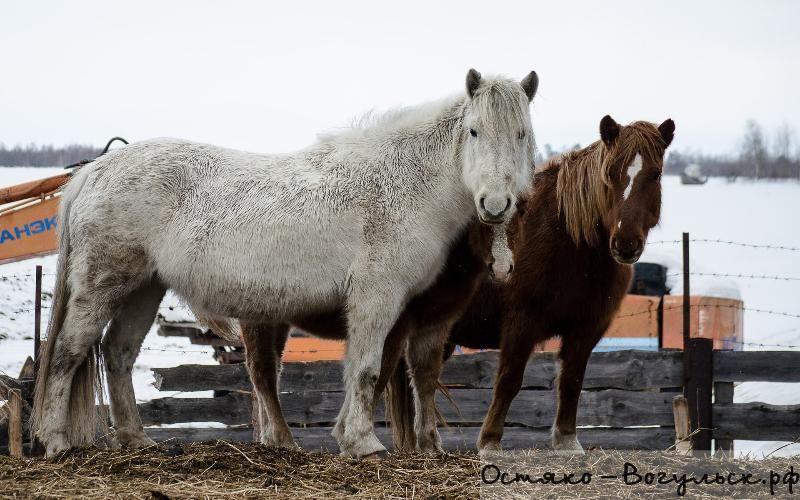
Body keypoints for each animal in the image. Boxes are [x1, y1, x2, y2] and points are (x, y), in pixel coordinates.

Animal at [32, 68, 539, 458]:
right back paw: (57, 442)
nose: (495, 205)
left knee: (117, 354)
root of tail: (95, 170)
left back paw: (136, 440)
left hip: (144, 288)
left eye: (521, 135)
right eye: (474, 131)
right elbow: (368, 370)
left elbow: (368, 372)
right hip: (103, 285)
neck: (401, 182)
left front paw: (351, 439)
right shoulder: (377, 299)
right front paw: (363, 443)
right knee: (68, 353)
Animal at [385, 115, 675, 453]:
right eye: (610, 173)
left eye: (655, 174)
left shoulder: (586, 330)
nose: (626, 243)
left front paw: (567, 440)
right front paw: (490, 441)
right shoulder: (521, 323)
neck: (570, 242)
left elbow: (572, 381)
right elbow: (509, 380)